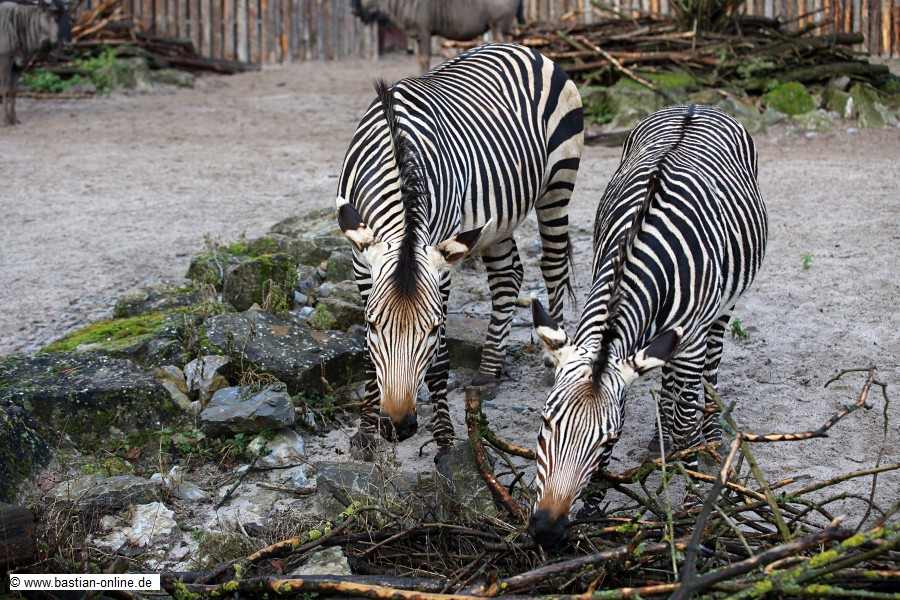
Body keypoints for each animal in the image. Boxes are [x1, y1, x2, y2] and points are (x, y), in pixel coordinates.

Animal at [336, 43, 583, 462]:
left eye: (435, 329)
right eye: (371, 325)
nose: (399, 426)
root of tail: (520, 47)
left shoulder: (442, 260)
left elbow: (438, 361)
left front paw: (445, 440)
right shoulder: (360, 258)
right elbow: (369, 355)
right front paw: (365, 432)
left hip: (558, 183)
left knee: (552, 267)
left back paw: (551, 358)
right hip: (496, 218)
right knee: (507, 276)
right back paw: (488, 372)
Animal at [527, 104, 767, 549]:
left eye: (608, 439)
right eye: (545, 424)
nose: (547, 531)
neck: (636, 253)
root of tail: (696, 106)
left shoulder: (690, 340)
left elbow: (686, 417)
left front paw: (693, 499)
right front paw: (592, 507)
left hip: (720, 310)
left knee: (708, 370)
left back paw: (708, 437)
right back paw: (661, 439)